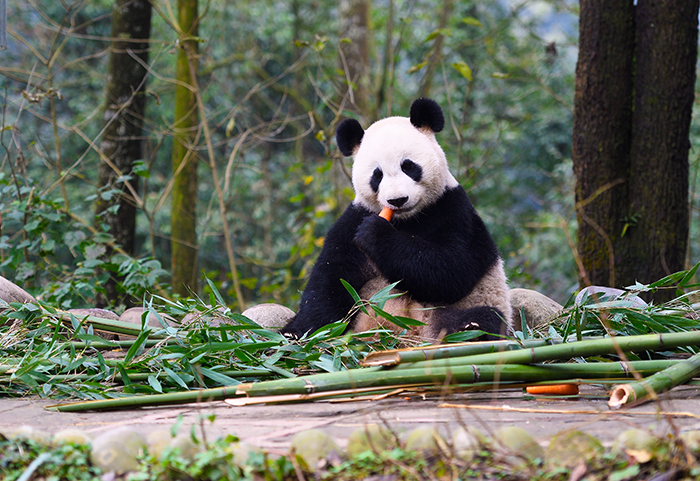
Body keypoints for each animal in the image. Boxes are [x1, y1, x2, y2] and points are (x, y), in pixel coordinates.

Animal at [282, 97, 512, 340]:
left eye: (408, 166)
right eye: (377, 175)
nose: (397, 200)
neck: (407, 219)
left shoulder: (453, 209)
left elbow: (452, 267)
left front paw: (375, 233)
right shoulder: (354, 219)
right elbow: (331, 280)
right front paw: (301, 333)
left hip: (462, 309)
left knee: (483, 319)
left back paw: (464, 330)